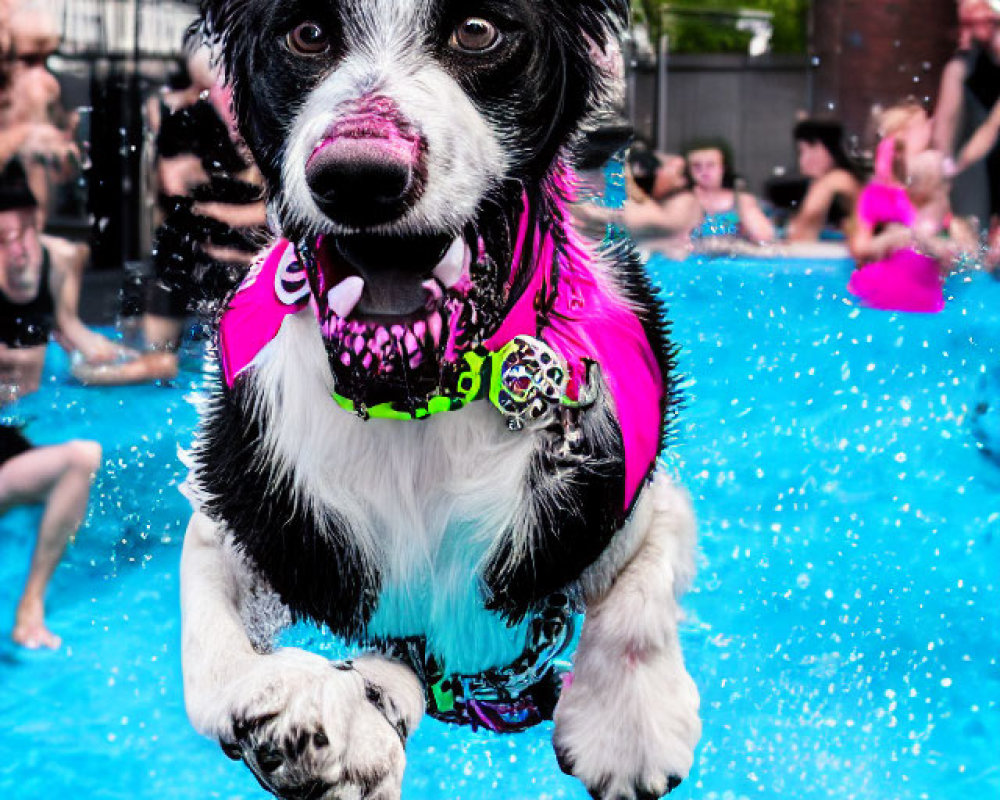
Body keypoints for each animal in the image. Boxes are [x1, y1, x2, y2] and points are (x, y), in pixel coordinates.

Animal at [180, 1, 700, 800]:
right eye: (306, 34)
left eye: (478, 31)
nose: (359, 176)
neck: (411, 400)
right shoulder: (245, 499)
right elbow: (213, 645)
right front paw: (318, 704)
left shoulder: (623, 483)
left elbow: (642, 587)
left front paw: (630, 727)